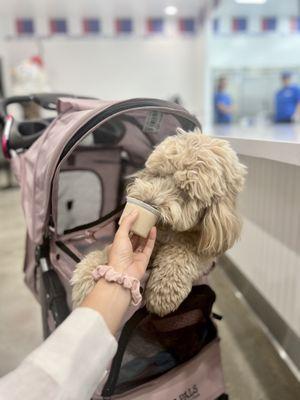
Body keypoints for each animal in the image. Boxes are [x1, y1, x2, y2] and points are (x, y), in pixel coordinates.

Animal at [72, 130, 246, 318]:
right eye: (159, 175)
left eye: (184, 191)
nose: (148, 202)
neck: (169, 232)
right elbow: (107, 252)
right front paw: (87, 275)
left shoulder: (204, 251)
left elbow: (183, 252)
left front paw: (164, 290)